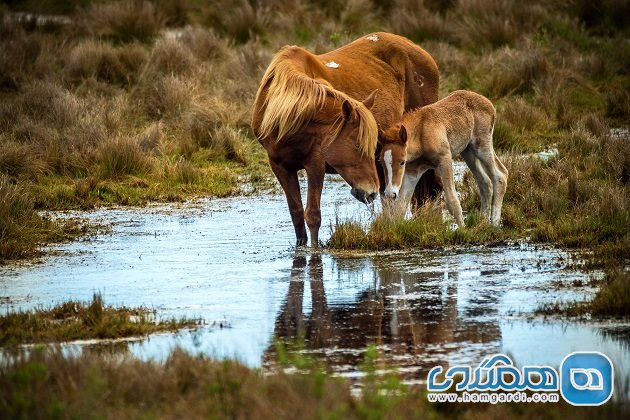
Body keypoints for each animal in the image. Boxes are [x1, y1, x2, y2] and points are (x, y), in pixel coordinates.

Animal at [254, 34, 442, 248]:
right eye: (357, 145)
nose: (370, 193)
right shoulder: (280, 167)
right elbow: (297, 214)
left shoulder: (315, 163)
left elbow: (313, 215)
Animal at [378, 89, 512, 226]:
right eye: (381, 162)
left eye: (402, 162)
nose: (390, 193)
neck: (421, 133)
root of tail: (488, 103)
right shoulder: (413, 172)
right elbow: (400, 207)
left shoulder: (445, 160)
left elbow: (452, 201)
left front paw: (462, 229)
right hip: (468, 152)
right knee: (485, 182)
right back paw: (483, 223)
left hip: (482, 146)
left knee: (500, 174)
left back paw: (494, 224)